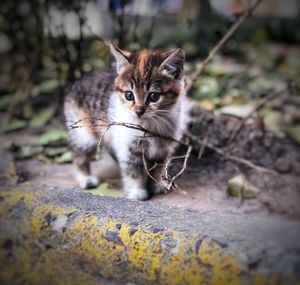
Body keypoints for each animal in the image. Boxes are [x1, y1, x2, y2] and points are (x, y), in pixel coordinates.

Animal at [64, 44, 189, 200]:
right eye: (129, 95)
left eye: (154, 96)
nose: (138, 111)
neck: (151, 125)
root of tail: (78, 82)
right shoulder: (128, 144)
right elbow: (133, 168)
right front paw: (137, 191)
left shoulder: (164, 146)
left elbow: (159, 167)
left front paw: (158, 184)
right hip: (83, 135)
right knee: (79, 156)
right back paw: (85, 178)